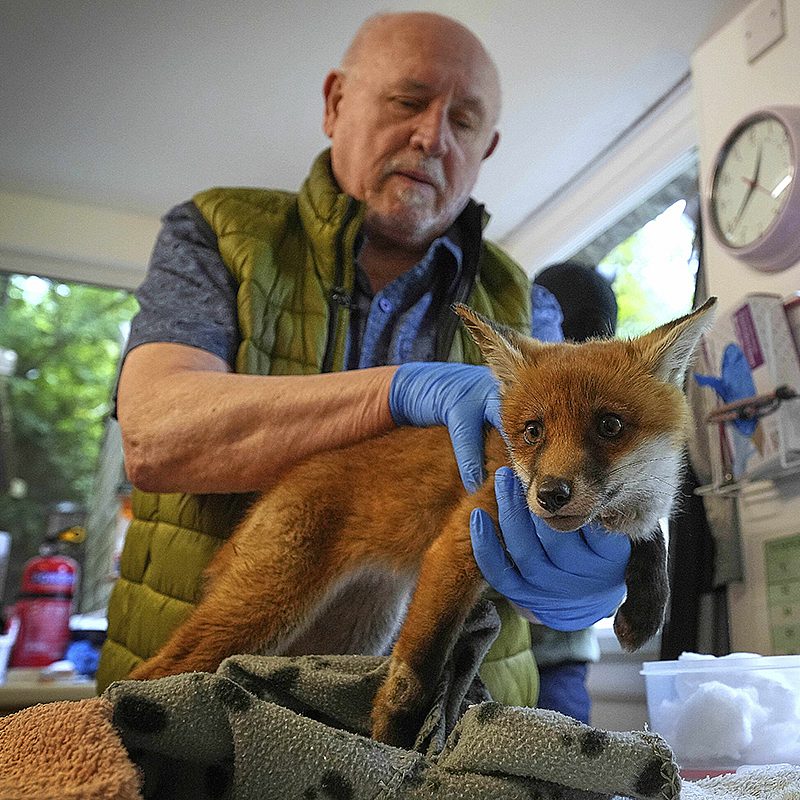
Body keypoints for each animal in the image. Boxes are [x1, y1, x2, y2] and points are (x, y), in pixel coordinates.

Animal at [130, 297, 717, 747]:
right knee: (157, 670)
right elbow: (417, 672)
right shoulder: (459, 543)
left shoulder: (628, 525)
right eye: (533, 431)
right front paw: (394, 742)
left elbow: (653, 546)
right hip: (269, 607)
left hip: (355, 629)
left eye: (610, 426)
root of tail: (280, 483)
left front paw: (643, 611)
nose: (549, 496)